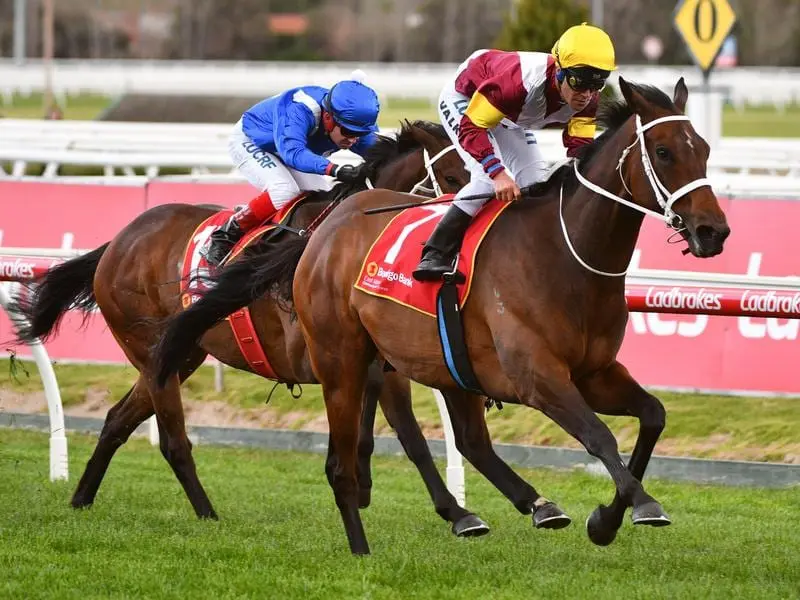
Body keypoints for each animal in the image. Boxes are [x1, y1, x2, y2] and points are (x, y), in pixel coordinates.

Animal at [14, 120, 494, 536]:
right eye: (452, 175)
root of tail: (117, 242)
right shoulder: (325, 353)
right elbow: (404, 431)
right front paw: (446, 509)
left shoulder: (377, 359)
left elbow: (406, 434)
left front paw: (445, 509)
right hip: (151, 351)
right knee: (173, 440)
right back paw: (207, 514)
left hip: (180, 354)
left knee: (117, 419)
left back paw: (81, 497)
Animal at [161, 77, 732, 556]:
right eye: (664, 152)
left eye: (703, 150)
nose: (714, 232)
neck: (564, 255)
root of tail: (325, 230)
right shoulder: (539, 378)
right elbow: (599, 438)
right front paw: (642, 506)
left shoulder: (594, 373)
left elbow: (653, 416)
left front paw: (606, 520)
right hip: (344, 358)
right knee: (358, 453)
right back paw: (367, 542)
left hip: (444, 364)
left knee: (471, 441)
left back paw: (527, 507)